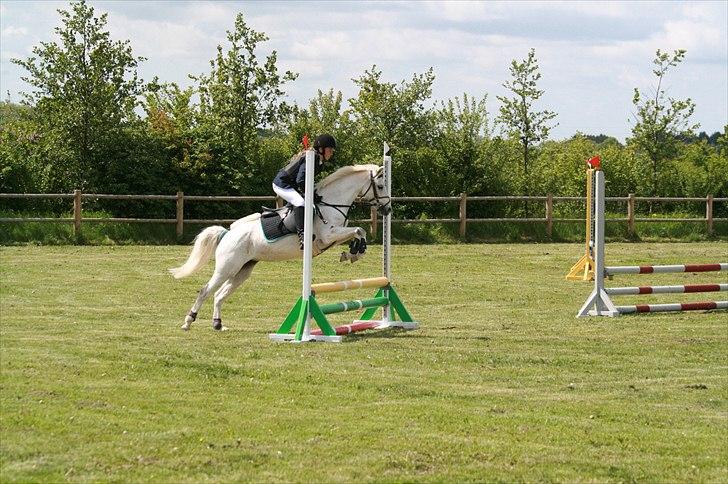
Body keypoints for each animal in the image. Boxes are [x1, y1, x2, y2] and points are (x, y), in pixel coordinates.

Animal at [169, 164, 392, 331]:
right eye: (381, 186)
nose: (388, 209)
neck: (331, 203)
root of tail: (227, 234)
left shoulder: (333, 237)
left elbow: (358, 232)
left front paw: (352, 252)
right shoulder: (327, 236)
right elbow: (359, 229)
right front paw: (353, 253)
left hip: (242, 270)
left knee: (219, 294)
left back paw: (217, 324)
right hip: (227, 267)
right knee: (205, 290)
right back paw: (188, 321)